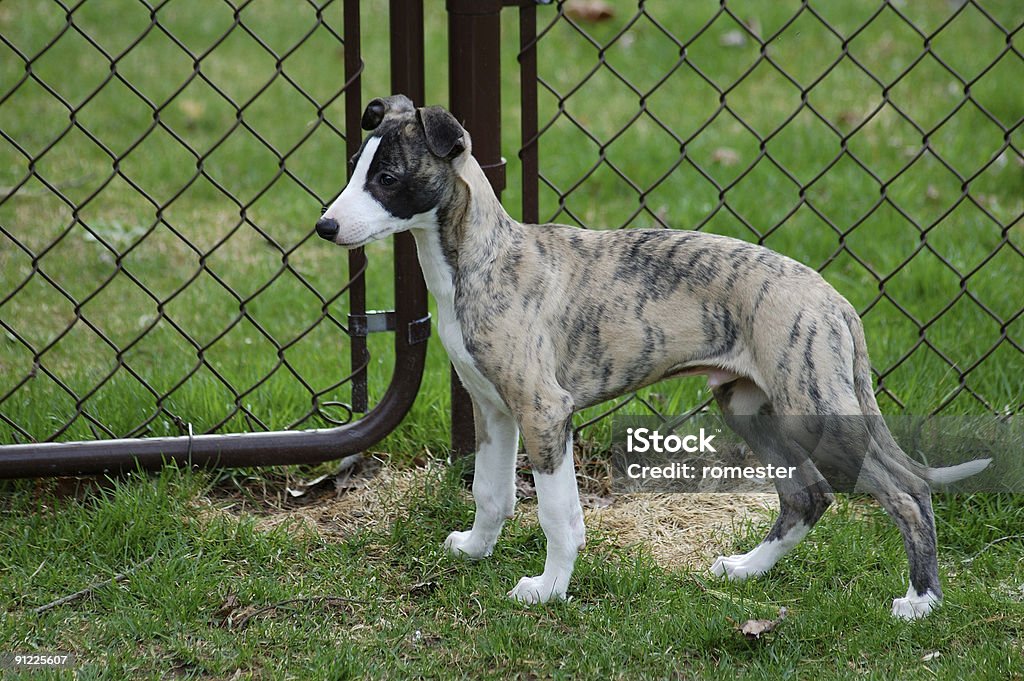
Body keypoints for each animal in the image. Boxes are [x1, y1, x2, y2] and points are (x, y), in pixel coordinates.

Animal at [317, 95, 991, 622]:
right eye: (354, 170)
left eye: (388, 177)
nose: (325, 226)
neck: (483, 258)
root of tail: (836, 300)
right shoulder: (495, 410)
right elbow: (492, 492)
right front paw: (476, 551)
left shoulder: (545, 411)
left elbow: (557, 514)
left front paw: (548, 589)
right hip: (750, 407)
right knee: (807, 496)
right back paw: (747, 570)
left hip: (819, 414)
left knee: (906, 490)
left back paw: (921, 601)